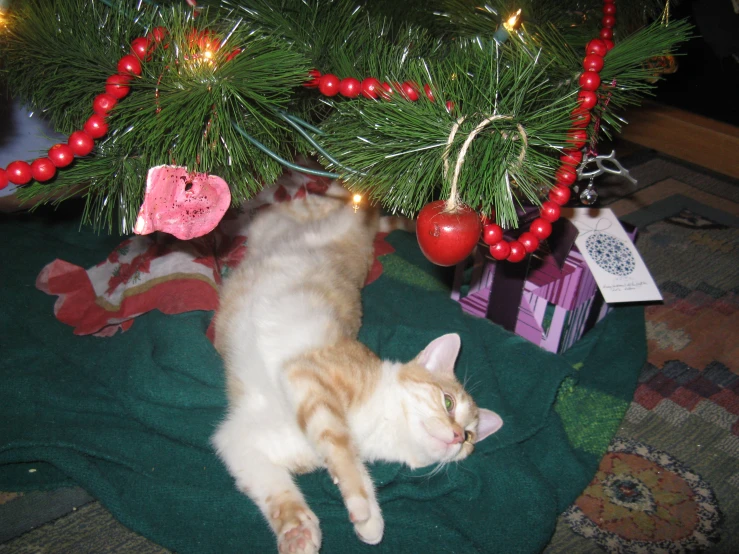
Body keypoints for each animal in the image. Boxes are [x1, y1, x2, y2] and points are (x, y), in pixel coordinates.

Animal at [212, 187, 502, 552]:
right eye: (448, 402)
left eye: (469, 437)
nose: (456, 437)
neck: (376, 425)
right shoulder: (307, 374)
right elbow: (341, 447)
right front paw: (362, 505)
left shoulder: (241, 440)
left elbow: (274, 486)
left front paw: (300, 528)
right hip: (316, 208)